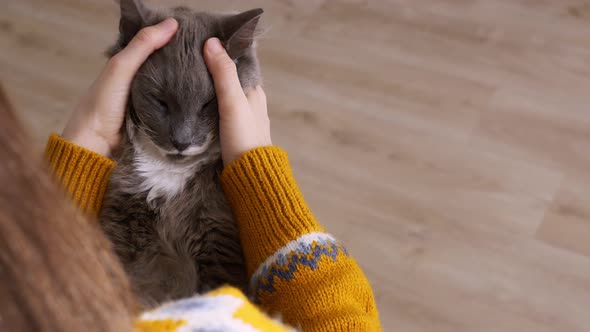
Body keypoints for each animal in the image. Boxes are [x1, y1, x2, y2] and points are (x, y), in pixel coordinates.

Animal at [100, 0, 264, 308]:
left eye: (208, 104)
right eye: (160, 102)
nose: (181, 141)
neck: (170, 174)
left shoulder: (218, 237)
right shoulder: (122, 218)